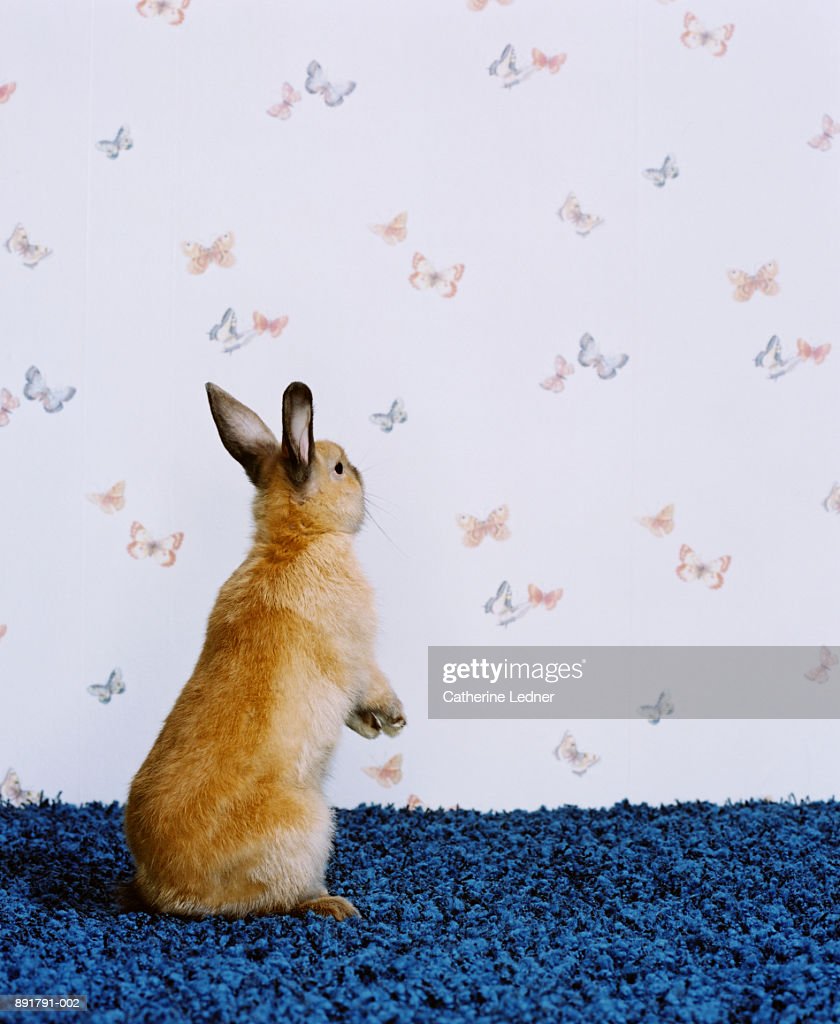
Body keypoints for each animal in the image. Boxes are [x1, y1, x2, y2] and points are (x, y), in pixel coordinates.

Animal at [123, 381, 406, 920]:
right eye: (339, 468)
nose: (360, 476)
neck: (297, 540)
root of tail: (168, 891)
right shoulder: (358, 655)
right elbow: (374, 685)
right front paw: (393, 720)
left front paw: (374, 727)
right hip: (309, 826)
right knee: (283, 900)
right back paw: (335, 905)